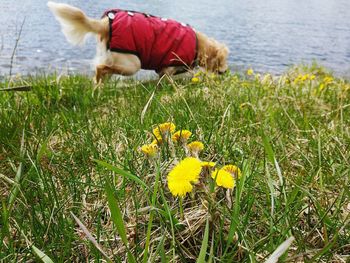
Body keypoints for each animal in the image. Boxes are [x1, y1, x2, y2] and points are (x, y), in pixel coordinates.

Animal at [47, 2, 230, 82]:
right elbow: (174, 77)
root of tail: (106, 23)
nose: (226, 71)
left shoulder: (163, 69)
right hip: (131, 63)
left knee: (103, 73)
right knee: (100, 69)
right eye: (222, 61)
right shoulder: (168, 67)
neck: (198, 43)